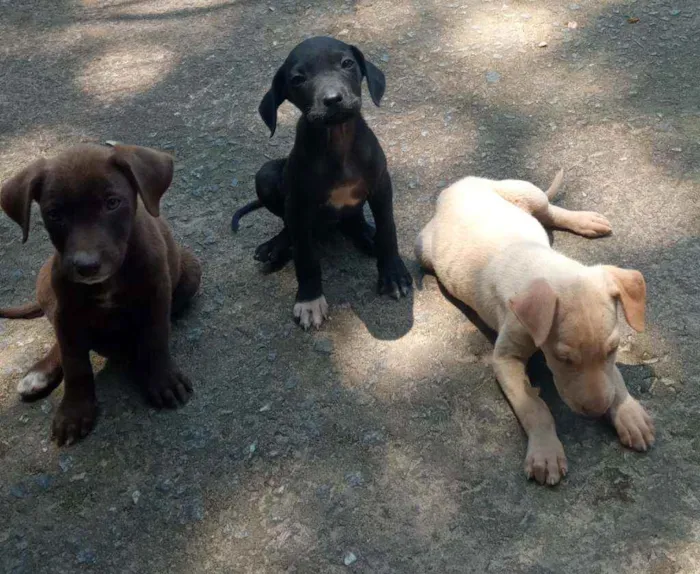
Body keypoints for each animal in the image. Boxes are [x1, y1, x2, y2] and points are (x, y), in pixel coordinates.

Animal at [0, 143, 202, 446]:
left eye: (112, 203)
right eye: (54, 213)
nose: (87, 266)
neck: (110, 280)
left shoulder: (157, 294)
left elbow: (155, 338)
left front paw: (163, 380)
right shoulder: (67, 312)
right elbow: (75, 364)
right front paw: (74, 412)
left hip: (191, 271)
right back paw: (39, 374)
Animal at [232, 37, 412, 328]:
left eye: (347, 63)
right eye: (297, 79)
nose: (333, 99)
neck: (336, 139)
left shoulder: (381, 186)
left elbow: (388, 229)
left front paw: (392, 273)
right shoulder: (298, 204)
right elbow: (305, 257)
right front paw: (309, 299)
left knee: (354, 220)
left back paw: (366, 234)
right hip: (267, 174)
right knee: (290, 227)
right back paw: (275, 247)